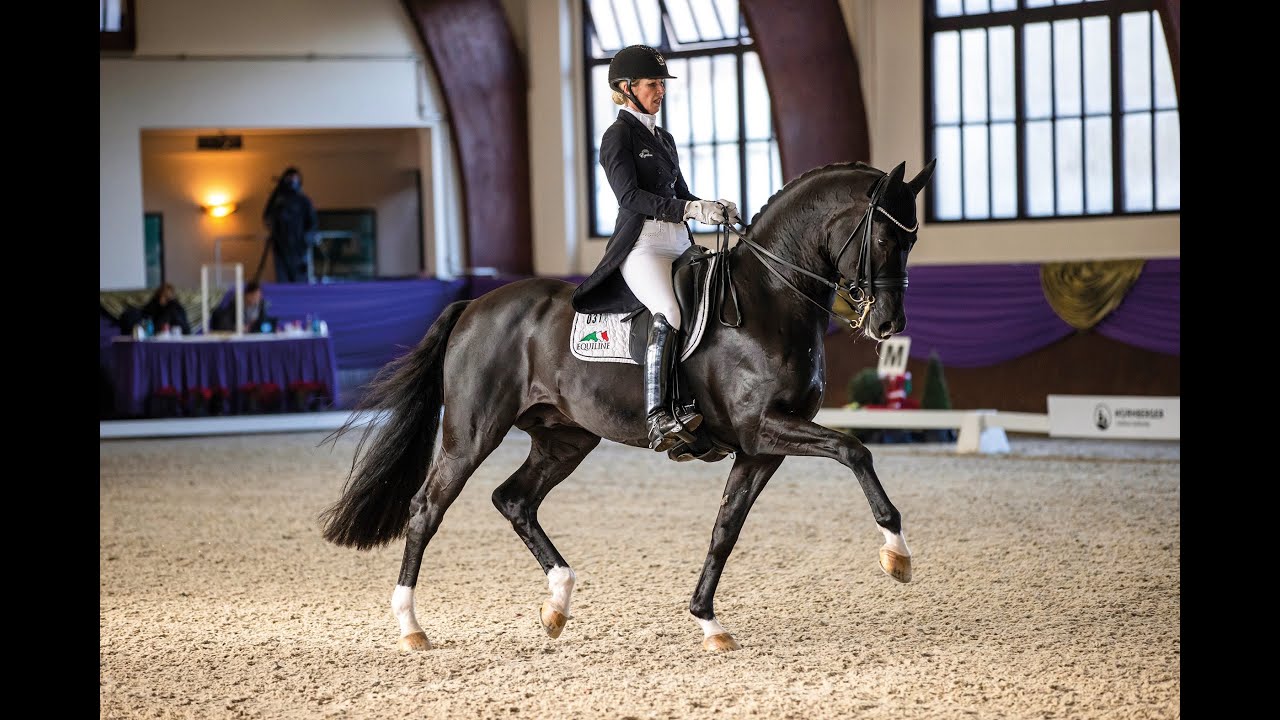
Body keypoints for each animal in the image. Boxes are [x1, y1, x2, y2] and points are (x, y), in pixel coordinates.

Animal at [319, 158, 936, 652]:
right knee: (427, 508)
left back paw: (557, 603)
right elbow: (854, 449)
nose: (888, 325)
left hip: (566, 438)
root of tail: (473, 306)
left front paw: (709, 623)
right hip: (471, 434)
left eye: (912, 241)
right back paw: (411, 627)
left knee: (514, 499)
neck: (769, 297)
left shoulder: (760, 448)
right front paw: (897, 554)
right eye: (885, 239)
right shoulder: (764, 428)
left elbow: (726, 529)